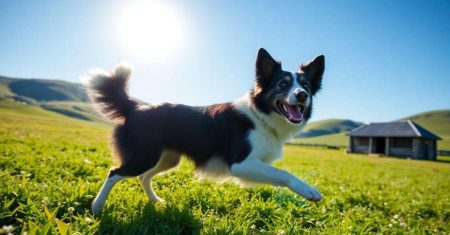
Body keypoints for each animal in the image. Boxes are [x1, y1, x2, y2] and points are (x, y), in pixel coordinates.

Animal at [85, 48, 324, 213]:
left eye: (306, 85)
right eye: (282, 84)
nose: (302, 95)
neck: (260, 115)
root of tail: (135, 107)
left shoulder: (255, 164)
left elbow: (277, 174)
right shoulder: (241, 164)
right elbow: (283, 173)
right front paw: (308, 190)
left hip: (166, 159)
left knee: (143, 177)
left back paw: (155, 201)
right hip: (144, 156)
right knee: (114, 172)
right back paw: (97, 207)